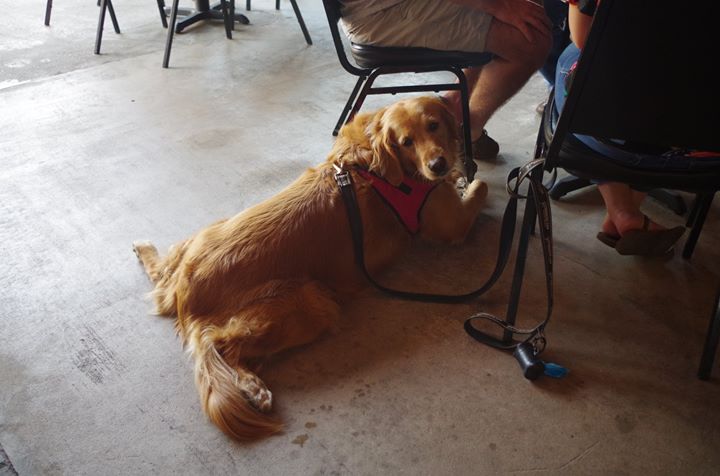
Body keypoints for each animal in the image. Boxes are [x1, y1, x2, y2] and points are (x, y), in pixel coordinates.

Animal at [132, 96, 486, 442]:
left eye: (433, 125)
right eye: (406, 142)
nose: (438, 165)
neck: (376, 164)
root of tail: (184, 292)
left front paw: (457, 175)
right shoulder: (451, 224)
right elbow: (480, 186)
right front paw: (466, 179)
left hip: (206, 236)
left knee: (166, 271)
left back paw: (144, 250)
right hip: (311, 302)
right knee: (221, 345)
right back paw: (253, 387)